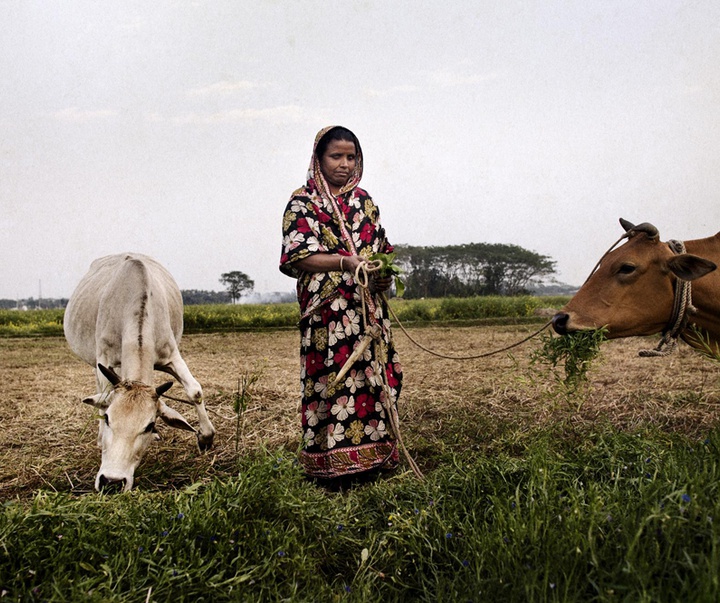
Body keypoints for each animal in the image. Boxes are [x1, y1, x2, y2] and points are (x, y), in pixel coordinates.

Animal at [64, 252, 215, 494]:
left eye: (149, 425)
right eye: (108, 419)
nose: (112, 481)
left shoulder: (171, 354)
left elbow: (195, 391)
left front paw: (206, 438)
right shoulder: (103, 359)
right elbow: (104, 400)